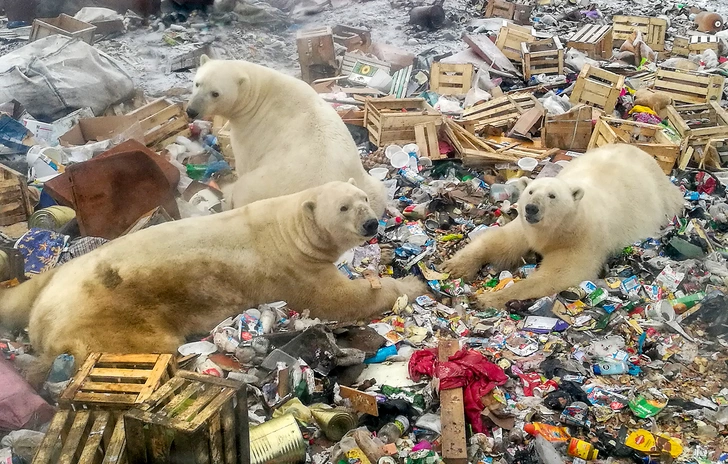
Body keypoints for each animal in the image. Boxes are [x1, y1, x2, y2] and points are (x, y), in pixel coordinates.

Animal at [0, 179, 426, 382]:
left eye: (363, 198)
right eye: (342, 207)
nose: (370, 224)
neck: (290, 231)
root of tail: (43, 323)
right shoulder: (293, 271)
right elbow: (339, 300)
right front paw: (412, 286)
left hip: (53, 277)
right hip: (108, 319)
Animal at [186, 55, 386, 218]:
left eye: (215, 93)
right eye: (197, 83)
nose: (191, 111)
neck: (259, 92)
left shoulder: (250, 130)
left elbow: (244, 161)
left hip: (262, 187)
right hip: (367, 185)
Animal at [440, 143, 684, 310]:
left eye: (552, 196)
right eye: (531, 191)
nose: (531, 208)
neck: (557, 230)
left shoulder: (581, 240)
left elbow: (558, 275)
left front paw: (486, 298)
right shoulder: (526, 229)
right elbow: (499, 242)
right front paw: (454, 267)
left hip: (663, 199)